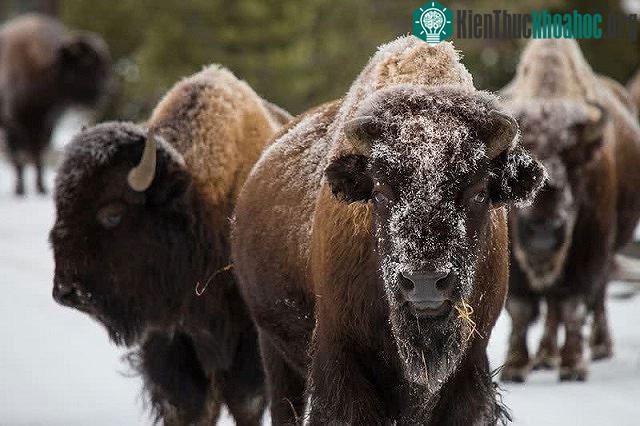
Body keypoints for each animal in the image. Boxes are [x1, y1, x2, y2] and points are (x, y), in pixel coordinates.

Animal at [0, 13, 110, 195]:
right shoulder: (13, 123)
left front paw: (41, 187)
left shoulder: (47, 123)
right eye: (86, 64)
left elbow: (39, 152)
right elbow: (19, 157)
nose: (105, 91)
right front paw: (20, 189)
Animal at [50, 66, 290, 424]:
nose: (67, 292)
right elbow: (187, 406)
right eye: (61, 206)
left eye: (112, 213)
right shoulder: (171, 341)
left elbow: (246, 402)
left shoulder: (248, 343)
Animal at [232, 37, 544, 425]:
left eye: (480, 192)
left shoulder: (469, 371)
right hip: (272, 348)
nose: (425, 283)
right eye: (380, 192)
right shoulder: (342, 361)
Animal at [500, 40, 640, 382]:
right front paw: (514, 367)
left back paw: (598, 347)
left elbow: (574, 305)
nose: (542, 236)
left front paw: (574, 366)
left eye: (574, 165)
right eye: (513, 167)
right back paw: (545, 356)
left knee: (594, 297)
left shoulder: (590, 250)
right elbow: (521, 309)